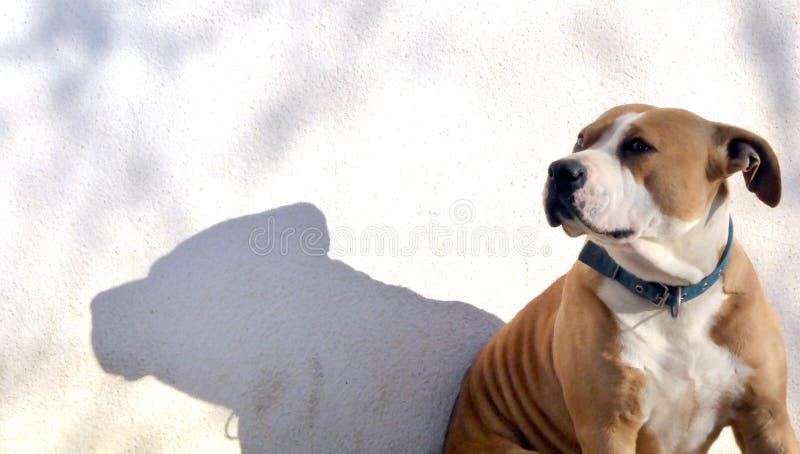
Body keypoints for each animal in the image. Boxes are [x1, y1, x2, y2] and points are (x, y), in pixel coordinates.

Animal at [444, 104, 800, 452]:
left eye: (638, 146)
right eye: (581, 140)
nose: (560, 169)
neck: (672, 292)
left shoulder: (766, 417)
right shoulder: (607, 427)